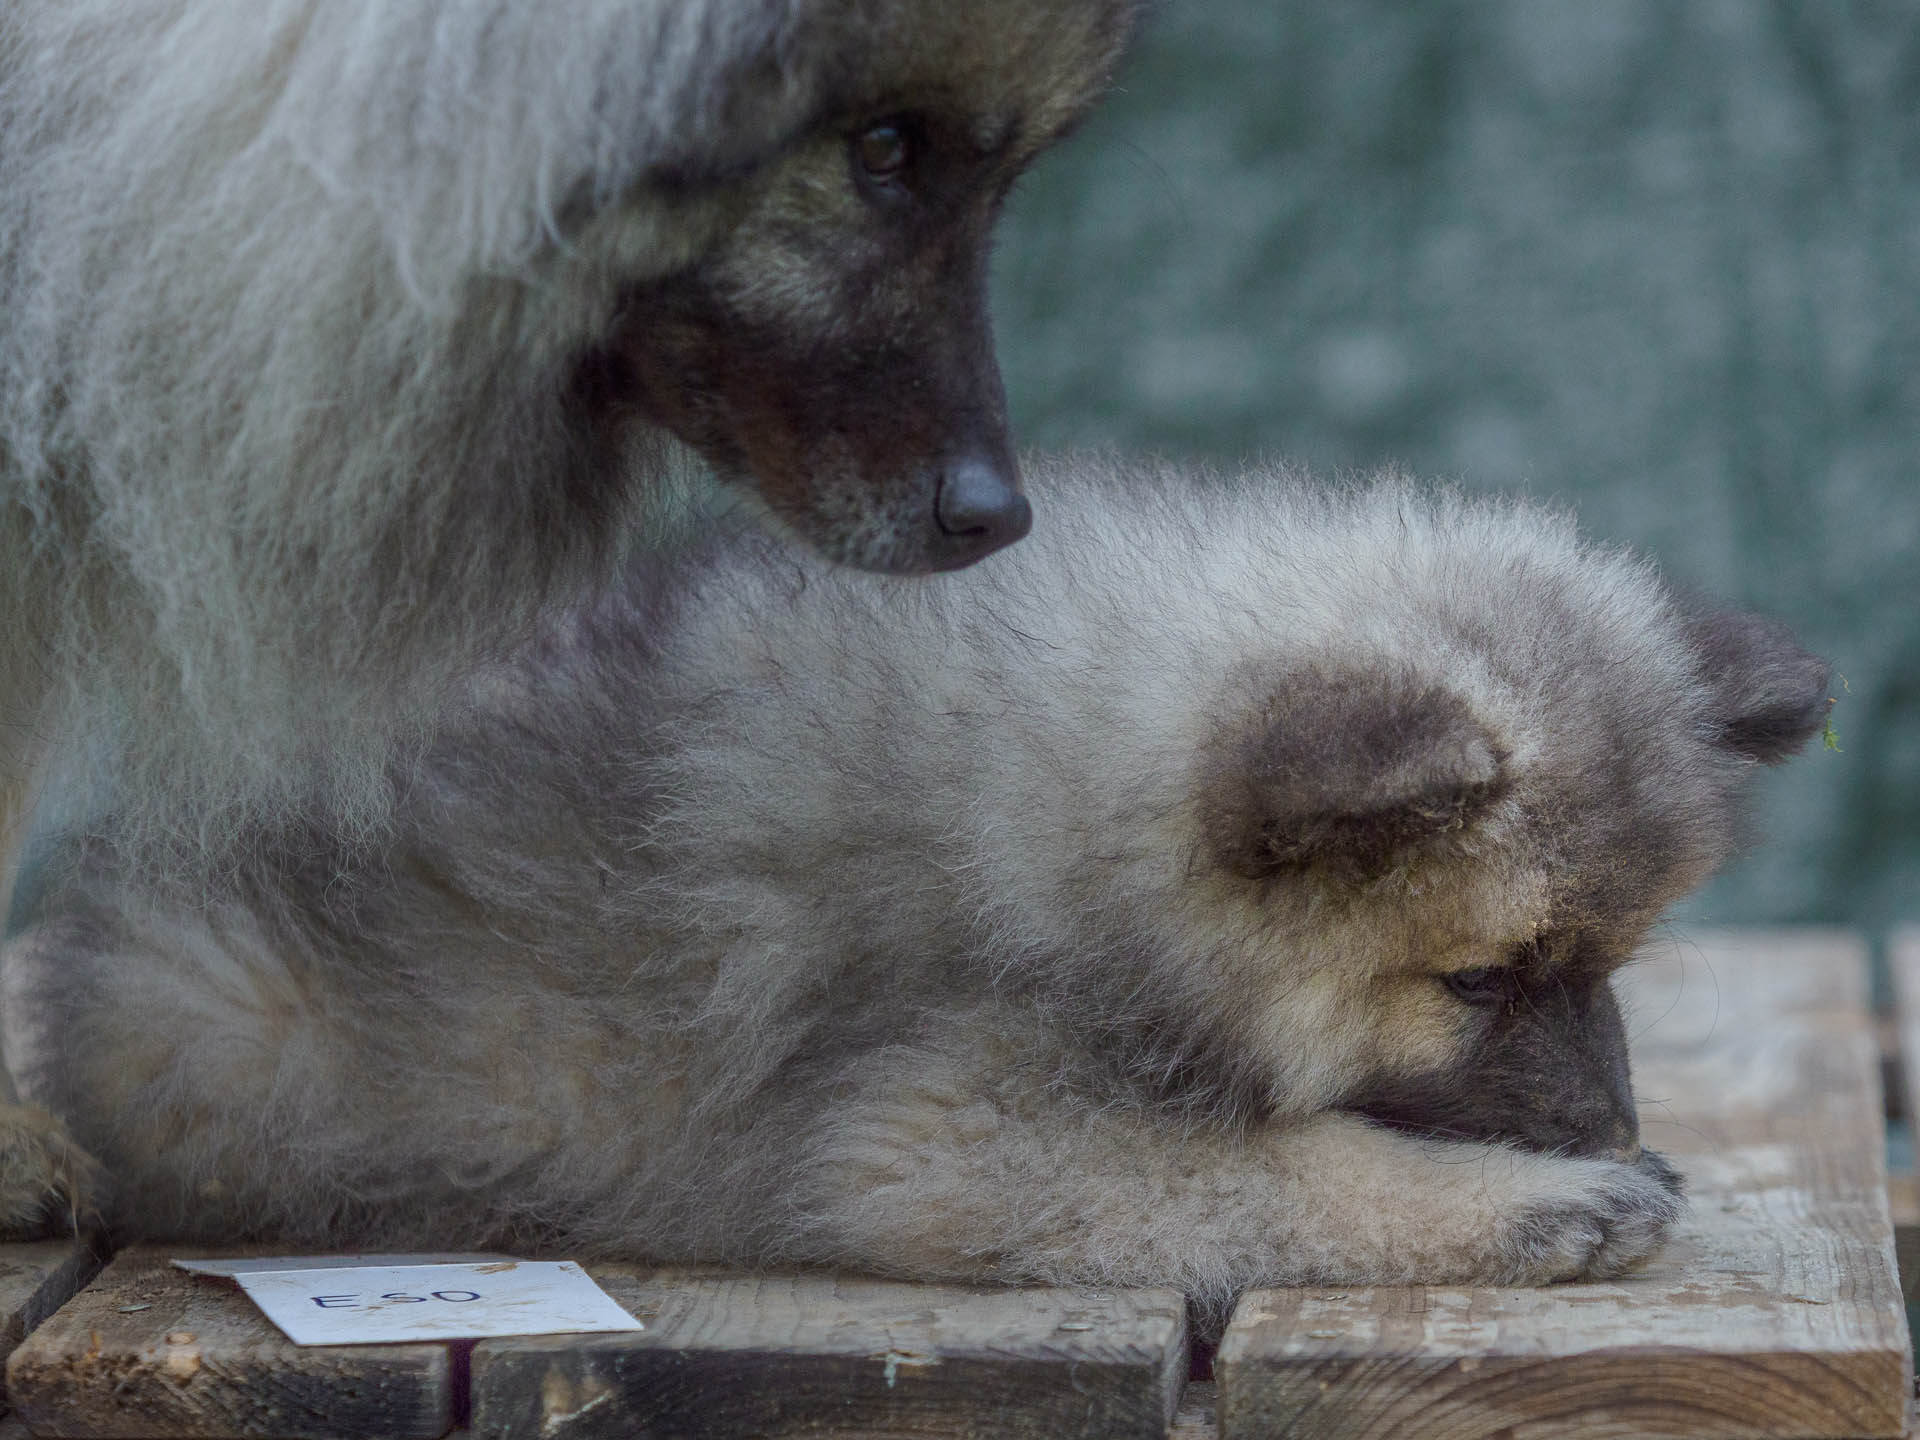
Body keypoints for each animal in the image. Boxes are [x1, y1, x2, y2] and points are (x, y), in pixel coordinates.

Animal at [3, 458, 1827, 1305]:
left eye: (1615, 963)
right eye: (1482, 979)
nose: (1605, 1119)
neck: (1076, 788)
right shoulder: (953, 1129)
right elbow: (1279, 1172)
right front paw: (1538, 1202)